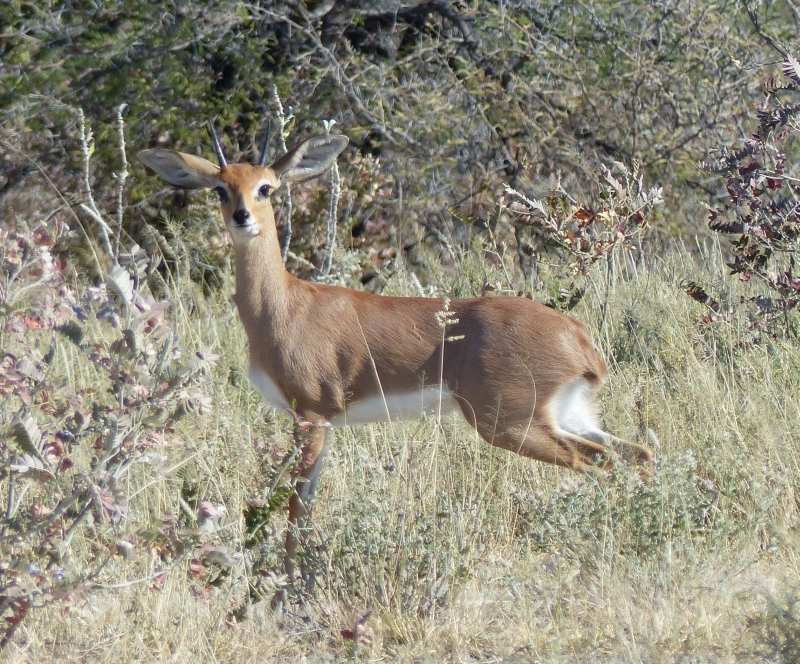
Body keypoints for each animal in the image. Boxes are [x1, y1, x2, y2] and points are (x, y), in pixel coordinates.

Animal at [139, 124, 648, 580]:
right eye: (221, 189)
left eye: (267, 186)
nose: (243, 217)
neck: (284, 306)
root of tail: (580, 341)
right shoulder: (321, 422)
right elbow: (307, 505)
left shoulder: (312, 415)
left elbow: (297, 509)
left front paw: (287, 589)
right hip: (566, 416)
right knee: (637, 454)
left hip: (510, 425)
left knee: (599, 465)